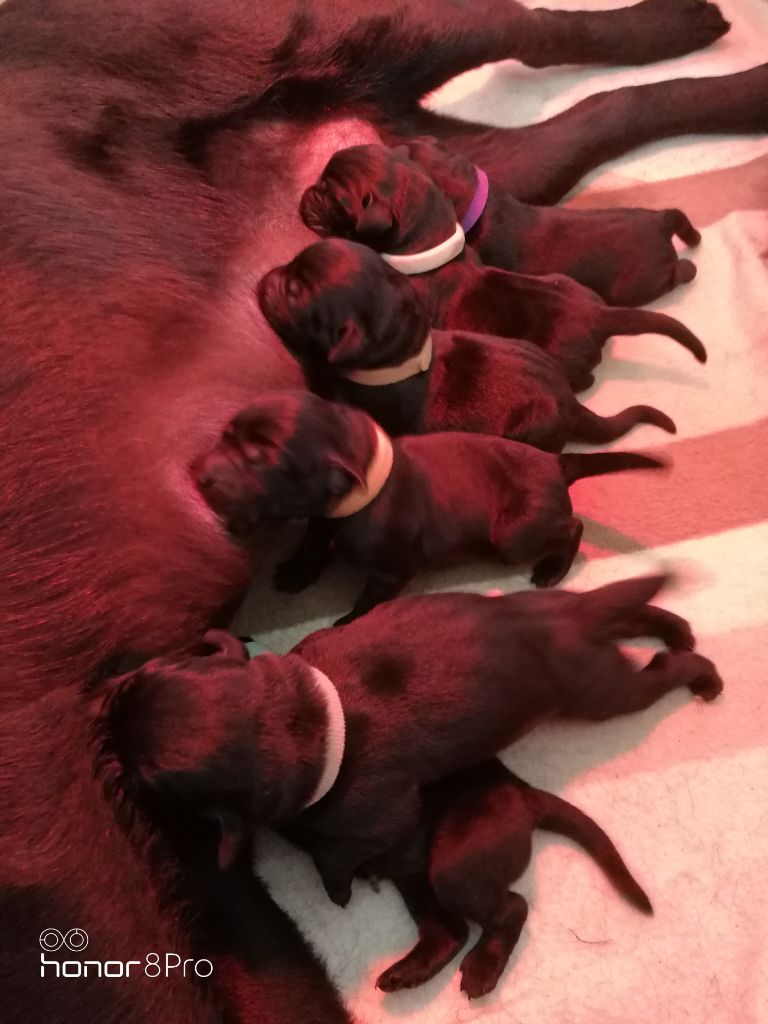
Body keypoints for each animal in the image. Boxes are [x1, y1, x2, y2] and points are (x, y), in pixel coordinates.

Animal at [195, 387, 671, 618]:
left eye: (260, 461)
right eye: (224, 436)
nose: (197, 474)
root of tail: (556, 462)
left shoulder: (393, 570)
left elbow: (368, 601)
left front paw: (347, 624)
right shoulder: (322, 520)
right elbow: (314, 545)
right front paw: (297, 572)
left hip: (515, 535)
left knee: (574, 527)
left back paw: (552, 569)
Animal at [364, 761, 651, 999]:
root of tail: (522, 790)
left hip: (451, 869)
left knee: (513, 907)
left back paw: (482, 967)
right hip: (413, 873)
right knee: (450, 931)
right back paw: (405, 973)